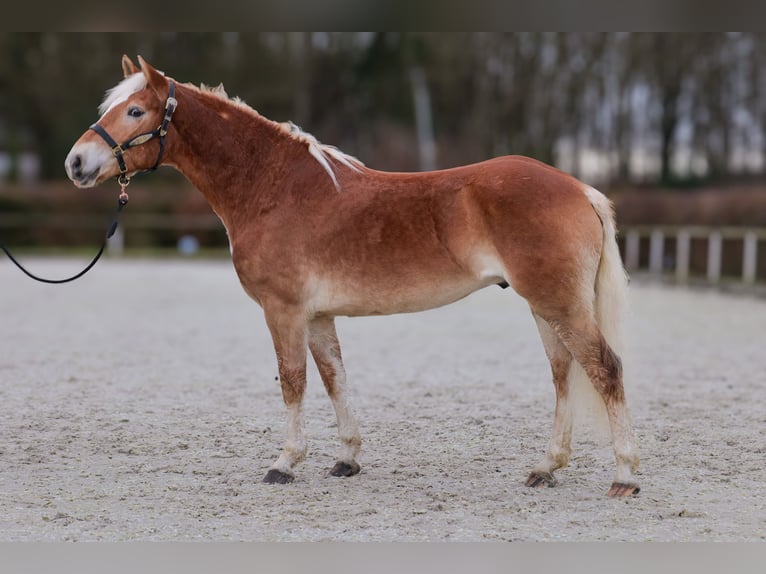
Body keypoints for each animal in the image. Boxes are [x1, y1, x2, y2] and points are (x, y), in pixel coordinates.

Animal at [66, 56, 640, 498]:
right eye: (109, 109)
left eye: (135, 111)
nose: (76, 163)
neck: (273, 187)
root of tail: (579, 188)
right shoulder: (319, 316)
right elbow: (334, 378)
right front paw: (347, 459)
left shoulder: (284, 311)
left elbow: (292, 381)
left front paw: (284, 463)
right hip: (544, 306)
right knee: (564, 374)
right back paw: (546, 468)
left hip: (560, 304)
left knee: (605, 369)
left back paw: (625, 477)